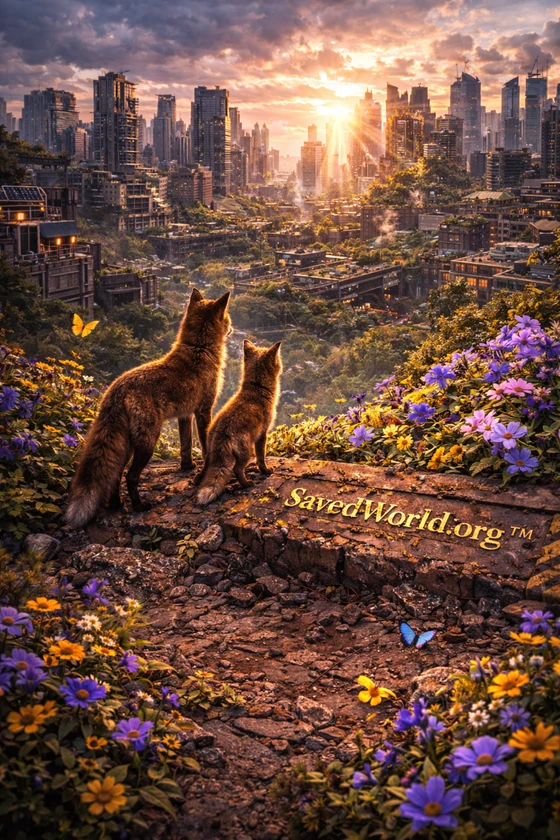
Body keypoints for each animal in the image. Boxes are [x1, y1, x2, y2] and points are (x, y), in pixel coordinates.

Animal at [65, 288, 231, 527]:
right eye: (227, 319)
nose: (232, 328)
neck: (199, 348)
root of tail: (117, 388)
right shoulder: (203, 410)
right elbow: (206, 446)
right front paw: (201, 473)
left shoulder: (185, 415)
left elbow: (186, 445)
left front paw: (187, 467)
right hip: (148, 441)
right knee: (130, 476)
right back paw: (138, 506)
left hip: (126, 444)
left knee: (115, 474)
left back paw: (116, 504)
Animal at [194, 339, 282, 506]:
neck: (257, 388)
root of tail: (222, 433)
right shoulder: (262, 434)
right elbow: (261, 457)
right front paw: (265, 471)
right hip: (246, 452)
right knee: (236, 470)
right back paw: (247, 484)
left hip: (209, 452)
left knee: (207, 468)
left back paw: (199, 479)